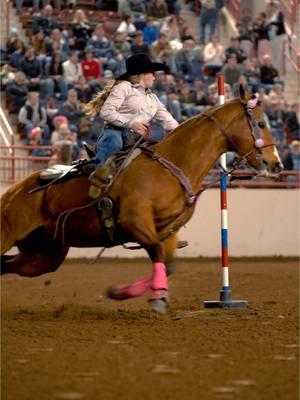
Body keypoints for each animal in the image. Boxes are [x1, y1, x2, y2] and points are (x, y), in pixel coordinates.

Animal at [0, 86, 282, 312]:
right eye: (261, 124)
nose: (276, 165)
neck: (172, 165)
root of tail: (14, 191)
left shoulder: (168, 230)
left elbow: (167, 263)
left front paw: (123, 292)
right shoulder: (135, 222)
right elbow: (157, 253)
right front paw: (153, 298)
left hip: (44, 255)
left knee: (7, 265)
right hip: (11, 236)